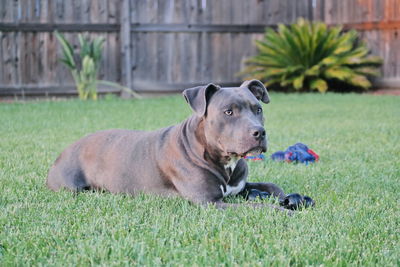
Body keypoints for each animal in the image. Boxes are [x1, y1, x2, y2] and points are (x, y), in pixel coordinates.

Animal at [47, 79, 314, 214]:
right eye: (228, 111)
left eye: (258, 109)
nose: (259, 132)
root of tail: (64, 151)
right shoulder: (210, 202)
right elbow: (258, 207)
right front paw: (284, 211)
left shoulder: (238, 186)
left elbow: (271, 186)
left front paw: (291, 198)